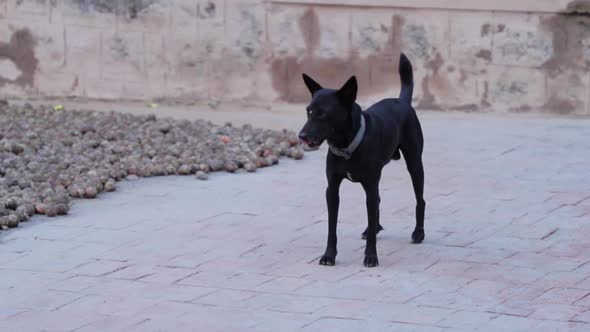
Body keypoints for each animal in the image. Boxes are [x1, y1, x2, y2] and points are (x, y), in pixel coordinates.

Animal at [300, 53, 426, 268]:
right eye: (308, 111)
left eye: (323, 114)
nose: (301, 136)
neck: (347, 146)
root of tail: (402, 101)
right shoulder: (332, 190)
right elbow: (332, 227)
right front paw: (329, 255)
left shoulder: (370, 183)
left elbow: (371, 213)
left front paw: (371, 257)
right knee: (378, 201)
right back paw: (371, 229)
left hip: (415, 164)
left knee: (420, 199)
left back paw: (418, 233)